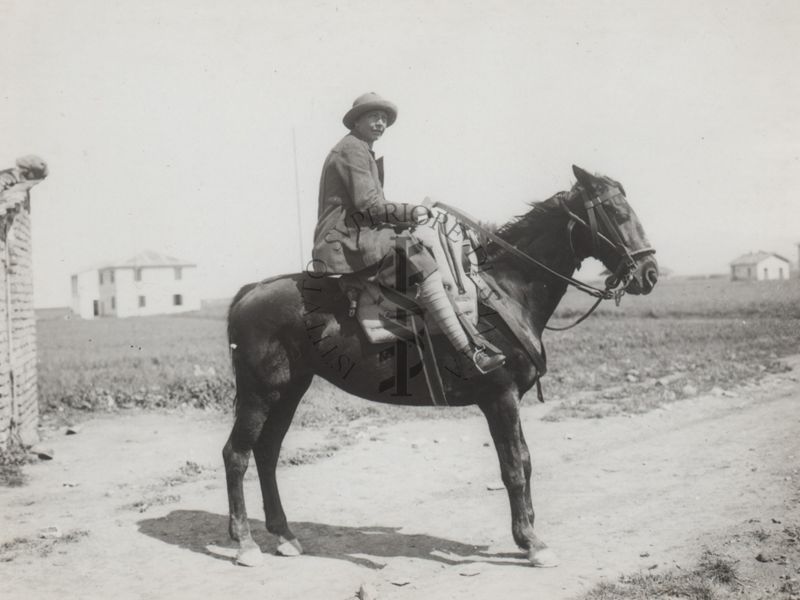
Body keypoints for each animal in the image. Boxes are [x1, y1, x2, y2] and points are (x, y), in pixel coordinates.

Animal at [223, 164, 656, 568]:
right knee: (237, 455)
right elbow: (515, 467)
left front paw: (528, 533)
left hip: (290, 390)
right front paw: (531, 541)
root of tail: (251, 291)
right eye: (617, 211)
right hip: (261, 392)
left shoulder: (509, 400)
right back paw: (245, 543)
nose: (649, 273)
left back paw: (284, 535)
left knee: (267, 452)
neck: (506, 291)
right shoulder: (501, 397)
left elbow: (525, 461)